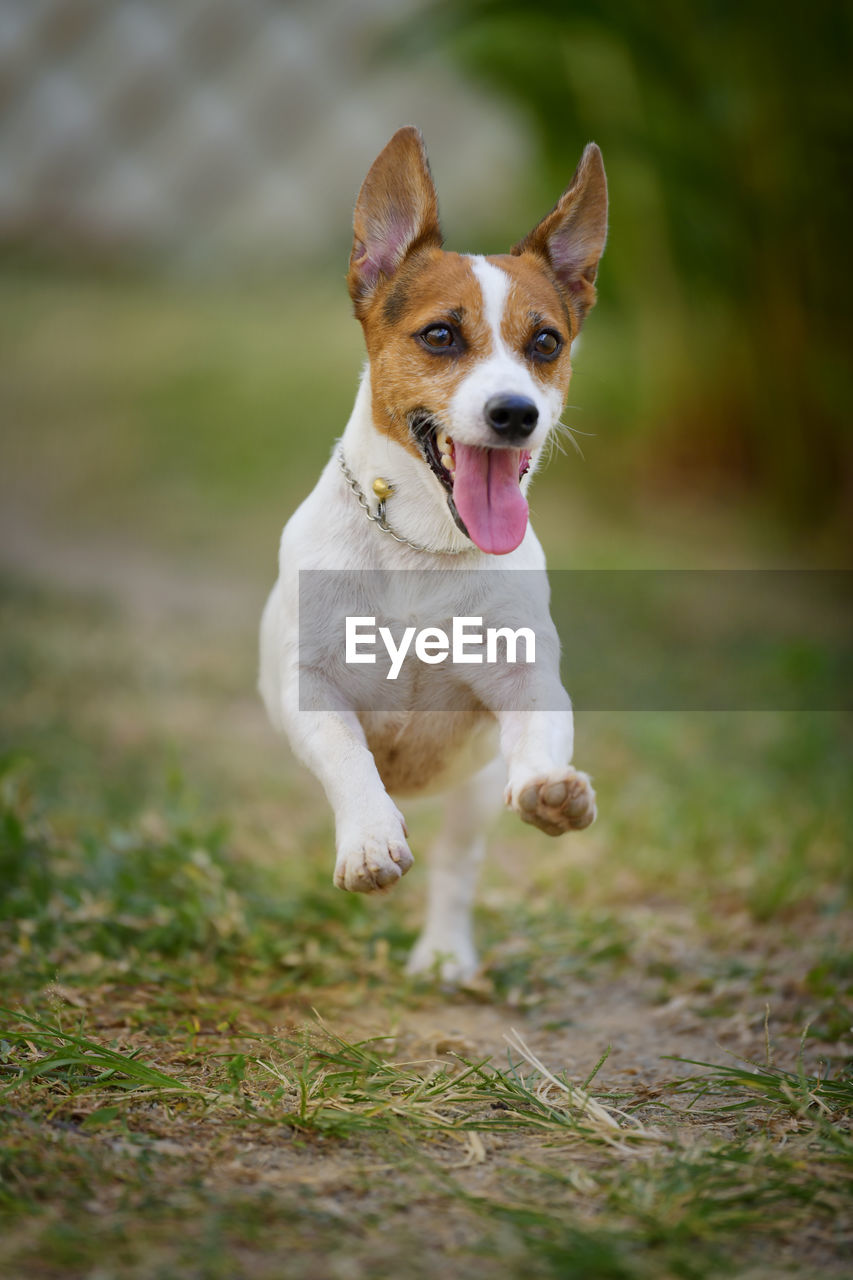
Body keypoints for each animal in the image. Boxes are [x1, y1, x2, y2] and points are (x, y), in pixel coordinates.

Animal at [258, 127, 604, 977]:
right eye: (440, 335)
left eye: (544, 342)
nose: (514, 413)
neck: (421, 544)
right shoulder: (312, 687)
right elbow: (349, 757)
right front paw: (368, 837)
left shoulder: (522, 679)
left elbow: (543, 730)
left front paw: (552, 787)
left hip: (472, 795)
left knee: (455, 865)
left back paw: (444, 952)